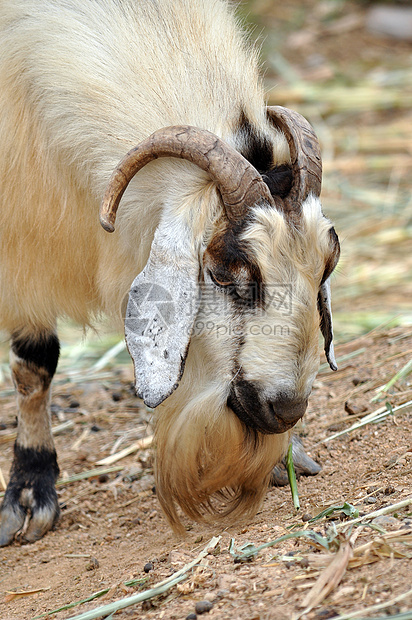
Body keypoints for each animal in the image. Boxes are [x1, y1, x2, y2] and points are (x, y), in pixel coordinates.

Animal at [0, 0, 340, 544]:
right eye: (223, 273)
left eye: (327, 265)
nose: (286, 410)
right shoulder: (22, 251)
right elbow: (35, 363)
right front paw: (30, 494)